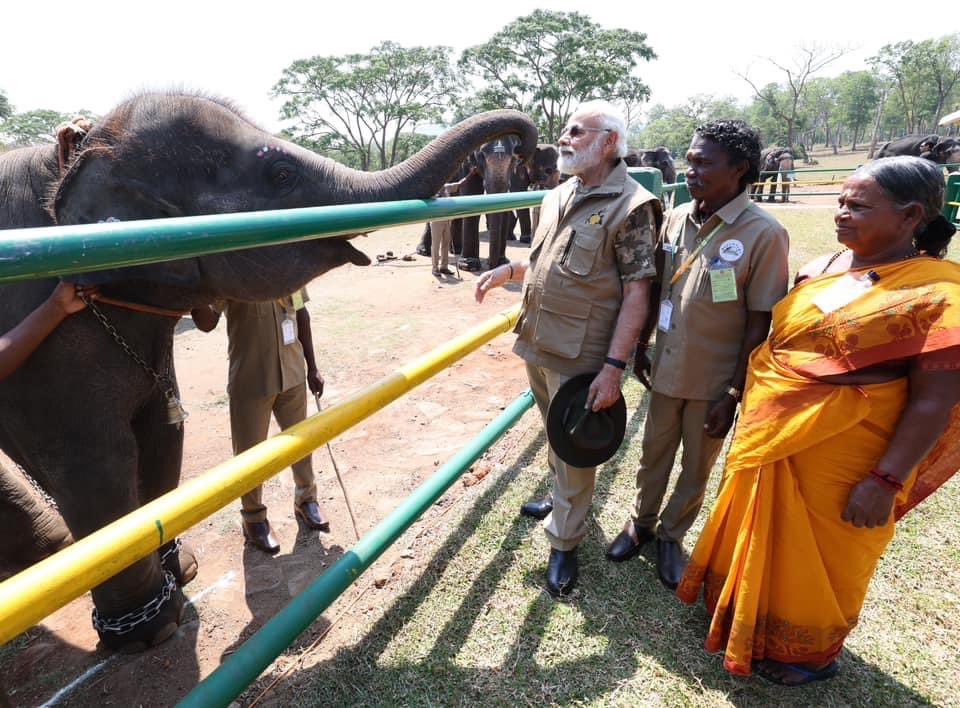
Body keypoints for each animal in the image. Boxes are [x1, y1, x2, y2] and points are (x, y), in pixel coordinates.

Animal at [0, 94, 540, 652]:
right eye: (281, 175)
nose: (525, 140)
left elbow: (163, 432)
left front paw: (182, 573)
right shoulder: (45, 346)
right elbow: (95, 461)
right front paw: (155, 628)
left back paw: (53, 550)